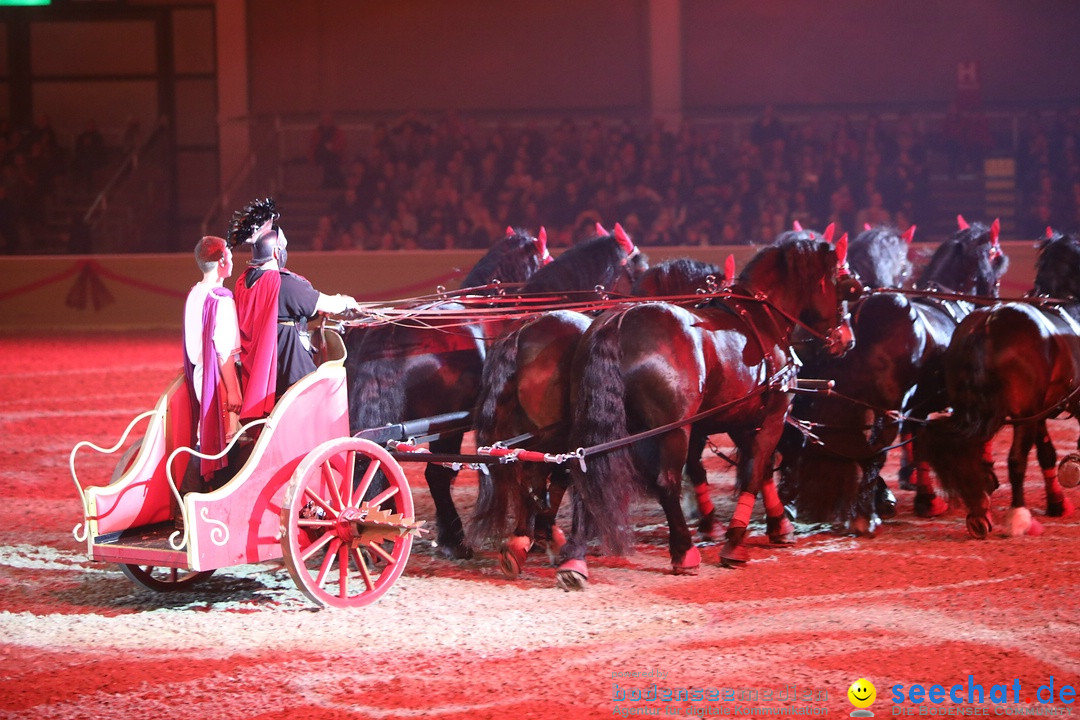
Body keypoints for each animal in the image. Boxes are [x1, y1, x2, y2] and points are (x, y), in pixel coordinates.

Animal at [552, 237, 855, 591]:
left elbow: (761, 470)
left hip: (600, 423)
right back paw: (684, 552)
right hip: (672, 430)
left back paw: (574, 561)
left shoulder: (741, 419)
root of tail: (619, 320)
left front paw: (778, 526)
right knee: (666, 481)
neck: (763, 321)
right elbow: (754, 471)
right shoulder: (774, 416)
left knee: (585, 477)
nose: (847, 340)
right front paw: (734, 544)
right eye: (842, 284)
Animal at [920, 227, 1080, 537]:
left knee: (973, 453)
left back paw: (979, 511)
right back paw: (1018, 516)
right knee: (1016, 460)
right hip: (1021, 415)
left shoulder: (1041, 410)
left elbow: (1047, 453)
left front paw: (1057, 502)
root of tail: (986, 323)